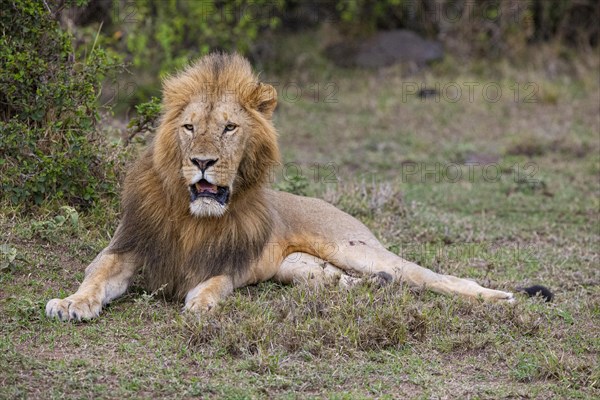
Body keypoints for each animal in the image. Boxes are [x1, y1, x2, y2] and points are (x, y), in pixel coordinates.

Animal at [47, 53, 516, 322]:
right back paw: (374, 287)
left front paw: (201, 303)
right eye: (189, 127)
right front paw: (71, 303)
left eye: (229, 128)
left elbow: (215, 283)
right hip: (300, 269)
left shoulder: (229, 260)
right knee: (344, 280)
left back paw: (500, 298)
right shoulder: (128, 247)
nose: (202, 162)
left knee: (433, 276)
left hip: (353, 248)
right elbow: (96, 275)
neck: (190, 215)